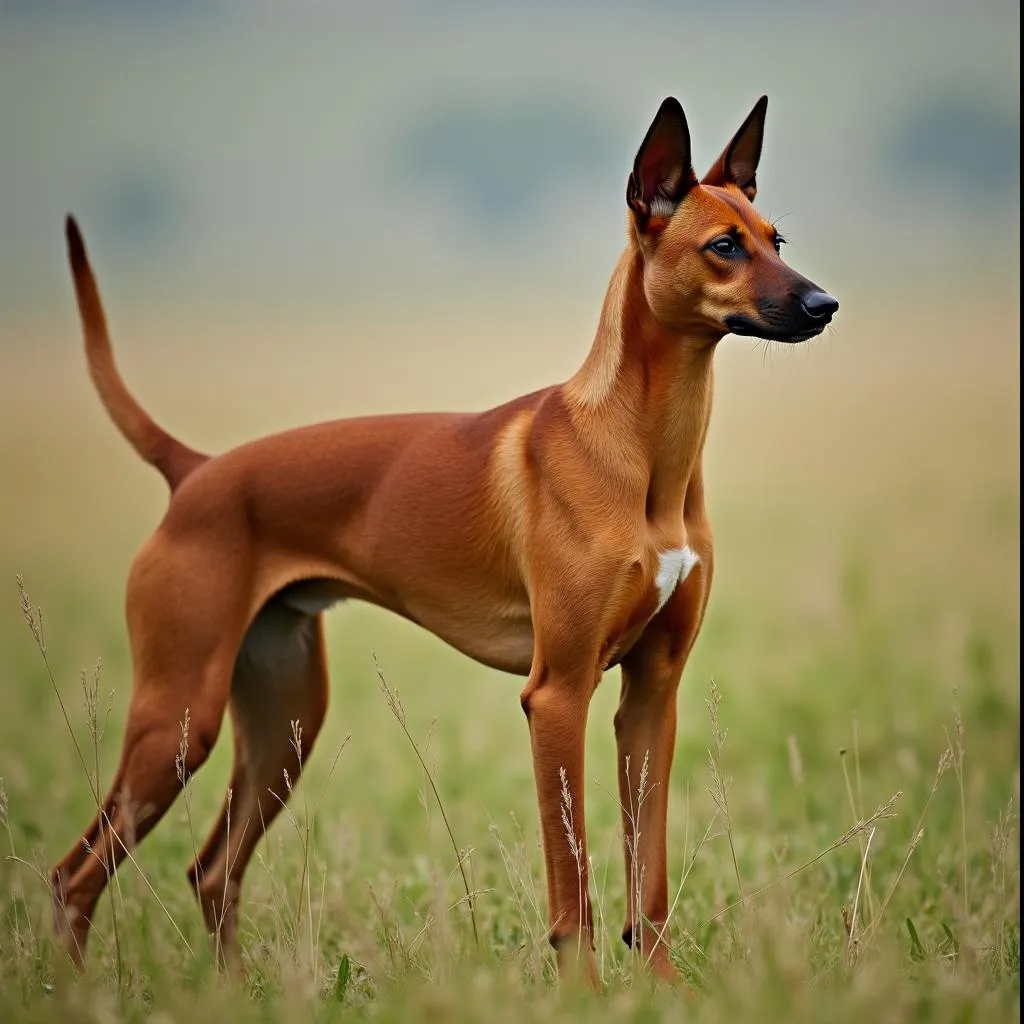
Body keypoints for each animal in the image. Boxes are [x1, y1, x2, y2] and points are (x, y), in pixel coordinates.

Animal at [51, 96, 835, 983]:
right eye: (723, 246)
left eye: (776, 239)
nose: (824, 305)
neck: (644, 457)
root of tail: (196, 472)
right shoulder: (557, 694)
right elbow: (574, 885)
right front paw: (586, 993)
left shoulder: (651, 695)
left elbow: (650, 880)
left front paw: (661, 990)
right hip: (180, 718)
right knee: (76, 875)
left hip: (282, 721)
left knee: (210, 870)